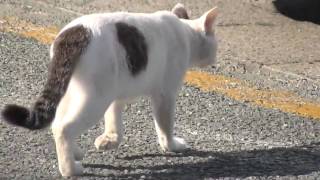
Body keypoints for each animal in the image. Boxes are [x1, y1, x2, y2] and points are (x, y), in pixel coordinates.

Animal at [0, 3, 218, 177]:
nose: (215, 59)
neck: (185, 32)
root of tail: (74, 33)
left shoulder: (116, 96)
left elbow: (113, 120)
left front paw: (110, 140)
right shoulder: (165, 94)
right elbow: (165, 126)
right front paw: (171, 146)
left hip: (75, 91)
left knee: (58, 120)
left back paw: (75, 151)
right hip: (96, 97)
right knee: (62, 128)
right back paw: (70, 169)